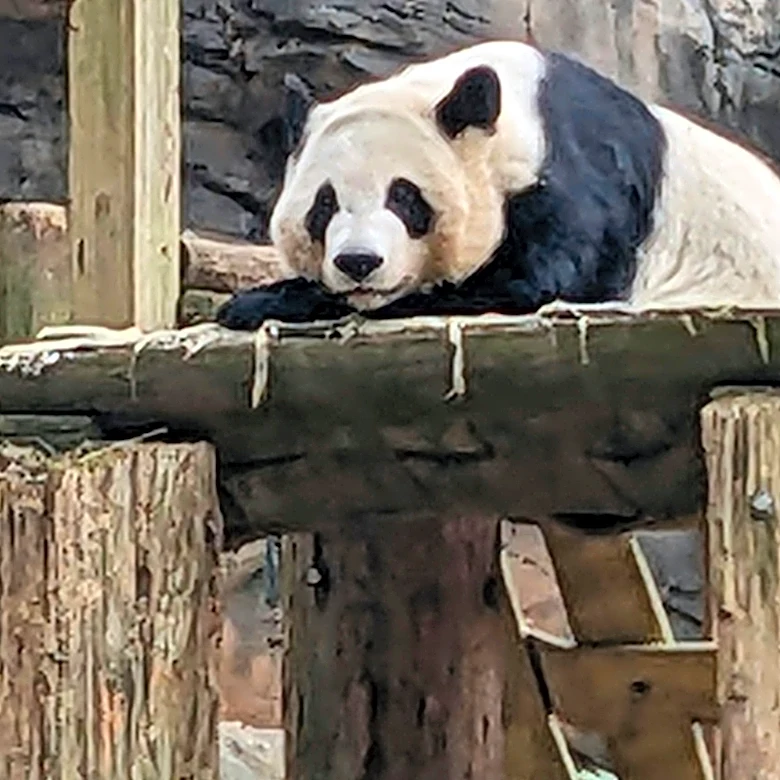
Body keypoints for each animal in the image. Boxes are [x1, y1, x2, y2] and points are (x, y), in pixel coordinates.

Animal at [216, 41, 780, 330]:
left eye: (404, 197)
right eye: (324, 204)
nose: (358, 262)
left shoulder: (577, 179)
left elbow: (529, 283)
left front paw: (262, 302)